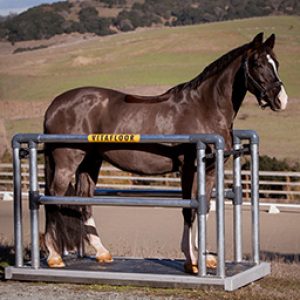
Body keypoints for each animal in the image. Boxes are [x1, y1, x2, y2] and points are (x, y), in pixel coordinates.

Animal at [42, 32, 288, 272]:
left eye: (276, 63)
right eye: (257, 63)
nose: (281, 99)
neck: (205, 108)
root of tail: (55, 105)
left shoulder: (209, 170)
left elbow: (203, 206)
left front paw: (203, 257)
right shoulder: (188, 168)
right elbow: (189, 209)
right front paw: (192, 260)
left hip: (91, 161)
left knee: (84, 200)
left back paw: (102, 252)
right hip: (67, 162)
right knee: (53, 196)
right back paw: (54, 257)